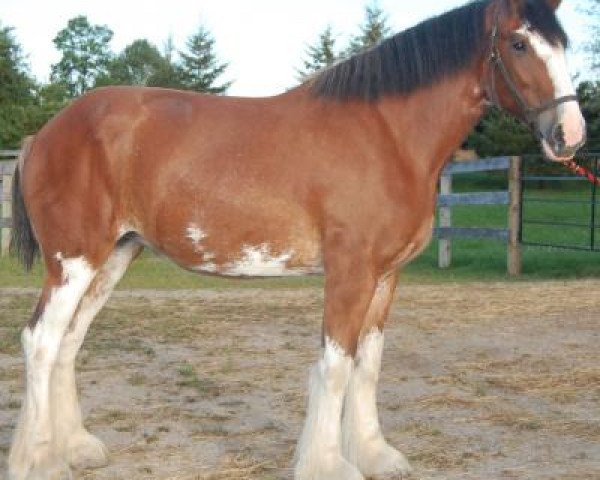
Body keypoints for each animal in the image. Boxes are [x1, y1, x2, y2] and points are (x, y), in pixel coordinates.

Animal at [7, 0, 584, 480]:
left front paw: (374, 454)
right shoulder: (351, 272)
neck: (386, 135)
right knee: (40, 341)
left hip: (113, 258)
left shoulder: (386, 277)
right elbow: (335, 366)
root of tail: (45, 134)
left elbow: (367, 367)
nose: (570, 134)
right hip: (74, 261)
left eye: (564, 44)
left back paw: (76, 448)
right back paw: (39, 461)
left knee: (68, 342)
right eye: (518, 43)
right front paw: (328, 465)